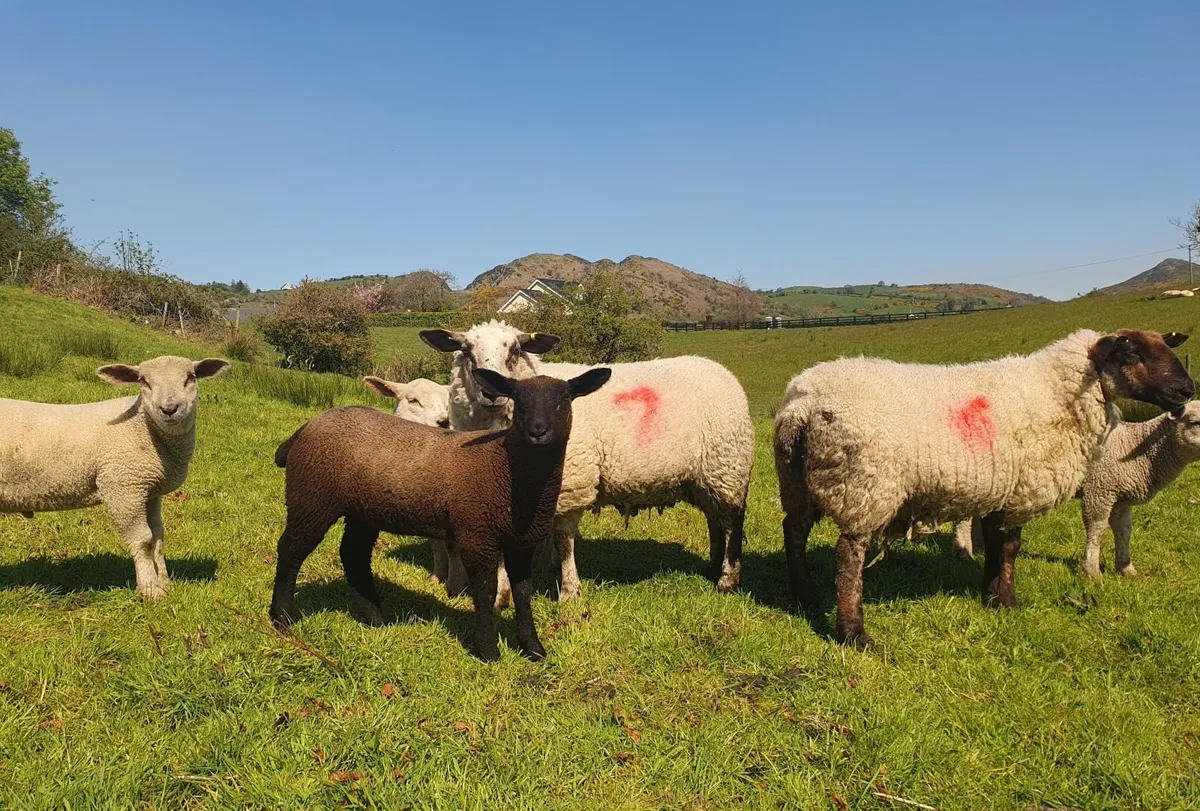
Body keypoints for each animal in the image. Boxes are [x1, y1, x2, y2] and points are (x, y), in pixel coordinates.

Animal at [0, 355, 230, 600]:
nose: (169, 409)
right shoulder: (123, 487)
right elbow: (143, 540)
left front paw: (164, 584)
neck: (143, 427)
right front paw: (150, 590)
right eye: (143, 381)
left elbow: (158, 538)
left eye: (191, 377)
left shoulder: (149, 491)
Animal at [269, 367, 612, 662]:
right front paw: (488, 651)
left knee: (353, 554)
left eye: (563, 400)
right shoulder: (476, 533)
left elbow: (523, 593)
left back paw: (375, 618)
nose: (538, 431)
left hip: (362, 510)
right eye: (520, 401)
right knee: (291, 549)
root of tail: (305, 428)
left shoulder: (521, 541)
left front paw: (533, 648)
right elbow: (485, 591)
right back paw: (282, 618)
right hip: (311, 496)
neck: (508, 467)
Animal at [421, 321, 755, 606]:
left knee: (732, 521)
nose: (491, 392)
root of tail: (722, 371)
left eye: (515, 350)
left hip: (728, 466)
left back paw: (727, 580)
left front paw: (569, 593)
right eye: (465, 350)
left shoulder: (571, 484)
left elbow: (564, 542)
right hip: (705, 477)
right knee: (715, 521)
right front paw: (503, 595)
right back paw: (712, 568)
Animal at [773, 329, 1193, 648]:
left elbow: (994, 542)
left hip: (797, 480)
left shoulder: (1001, 489)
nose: (1186, 389)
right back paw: (854, 633)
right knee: (848, 557)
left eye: (1166, 346)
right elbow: (1010, 546)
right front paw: (1007, 599)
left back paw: (804, 593)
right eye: (1132, 352)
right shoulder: (1024, 488)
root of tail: (803, 403)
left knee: (793, 531)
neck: (1058, 393)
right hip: (865, 485)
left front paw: (990, 593)